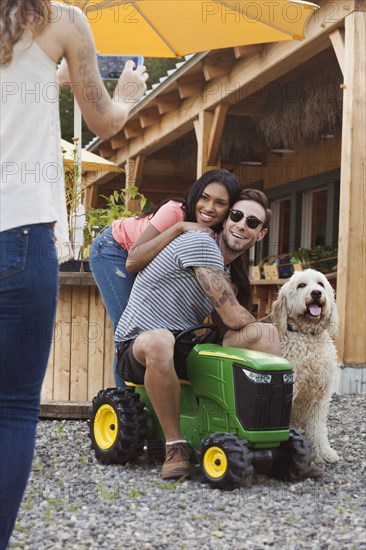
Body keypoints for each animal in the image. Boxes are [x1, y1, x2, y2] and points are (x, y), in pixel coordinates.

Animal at [272, 270, 340, 464]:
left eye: (320, 284)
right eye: (301, 285)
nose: (316, 293)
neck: (308, 336)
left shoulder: (322, 397)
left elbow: (318, 428)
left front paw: (323, 452)